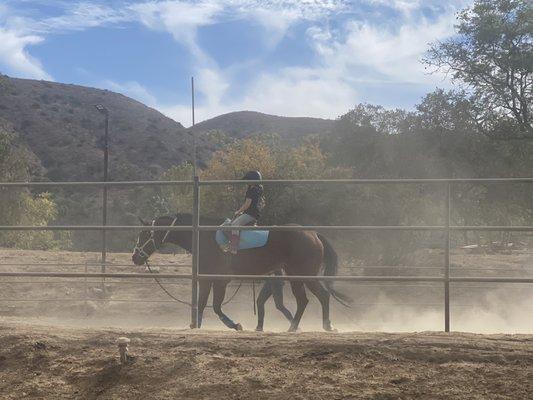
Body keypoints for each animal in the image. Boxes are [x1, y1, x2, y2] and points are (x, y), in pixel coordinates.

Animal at [132, 212, 350, 332]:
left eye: (145, 233)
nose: (135, 257)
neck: (203, 236)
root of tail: (313, 234)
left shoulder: (218, 281)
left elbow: (214, 306)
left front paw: (235, 325)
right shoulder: (209, 280)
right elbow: (203, 304)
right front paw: (197, 326)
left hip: (301, 276)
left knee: (316, 297)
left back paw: (311, 326)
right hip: (297, 277)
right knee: (311, 299)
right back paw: (306, 326)